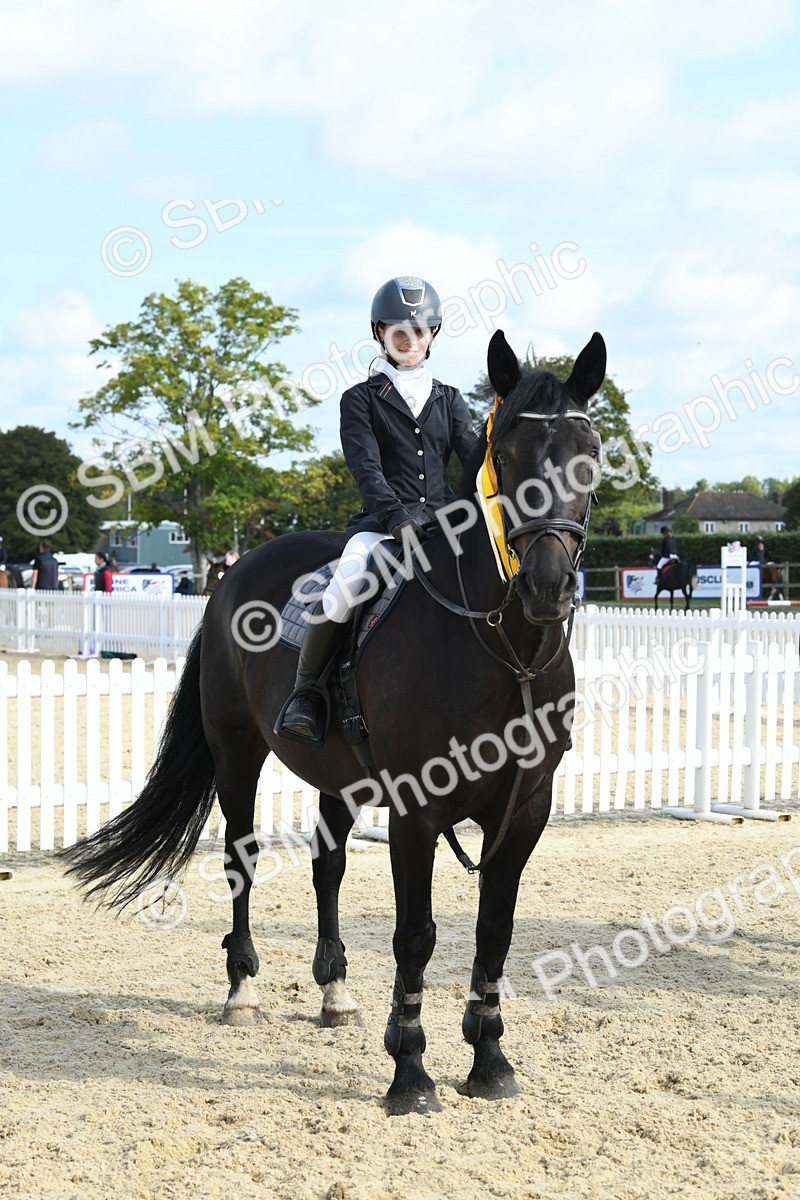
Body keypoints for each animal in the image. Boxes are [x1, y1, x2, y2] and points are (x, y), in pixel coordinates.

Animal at [62, 329, 607, 1116]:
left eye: (589, 452)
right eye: (505, 455)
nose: (547, 586)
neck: (508, 653)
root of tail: (234, 569)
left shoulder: (526, 806)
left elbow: (495, 930)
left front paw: (490, 1060)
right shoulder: (416, 805)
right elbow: (415, 935)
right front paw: (410, 1072)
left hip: (337, 774)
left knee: (329, 864)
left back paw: (335, 990)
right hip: (237, 753)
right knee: (242, 857)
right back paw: (243, 988)